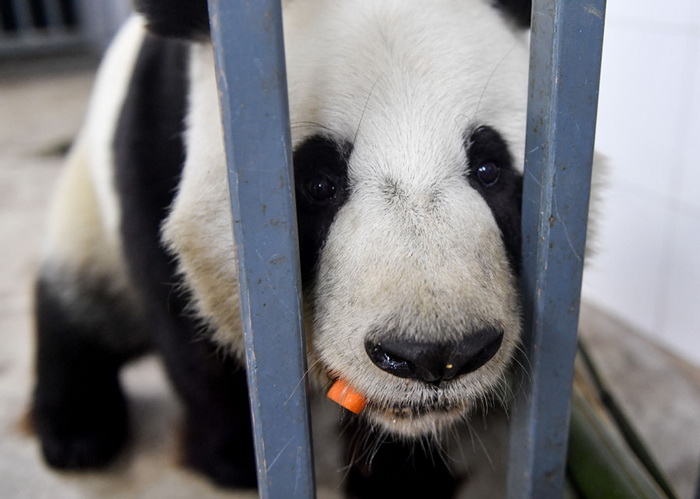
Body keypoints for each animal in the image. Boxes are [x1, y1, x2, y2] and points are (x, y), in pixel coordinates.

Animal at [31, 0, 533, 497]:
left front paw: (402, 477)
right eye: (317, 183)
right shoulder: (157, 145)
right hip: (89, 206)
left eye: (488, 169)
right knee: (83, 302)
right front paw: (237, 460)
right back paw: (76, 434)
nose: (436, 355)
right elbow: (186, 325)